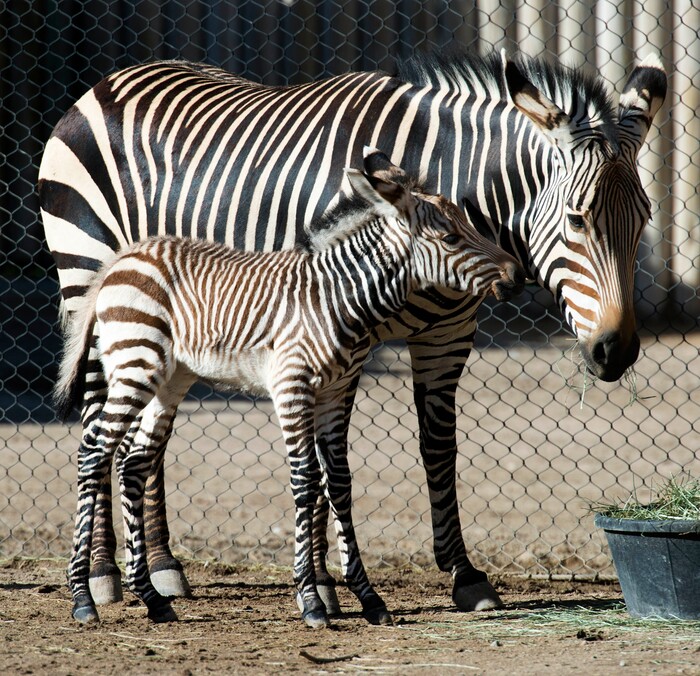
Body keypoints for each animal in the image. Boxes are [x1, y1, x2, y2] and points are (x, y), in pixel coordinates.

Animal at [54, 151, 525, 627]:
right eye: (450, 238)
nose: (516, 275)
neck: (338, 297)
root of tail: (122, 258)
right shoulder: (292, 386)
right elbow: (305, 480)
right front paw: (312, 600)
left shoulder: (337, 390)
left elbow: (339, 483)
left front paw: (368, 597)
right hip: (136, 363)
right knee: (94, 452)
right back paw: (83, 598)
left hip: (170, 378)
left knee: (132, 462)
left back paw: (151, 597)